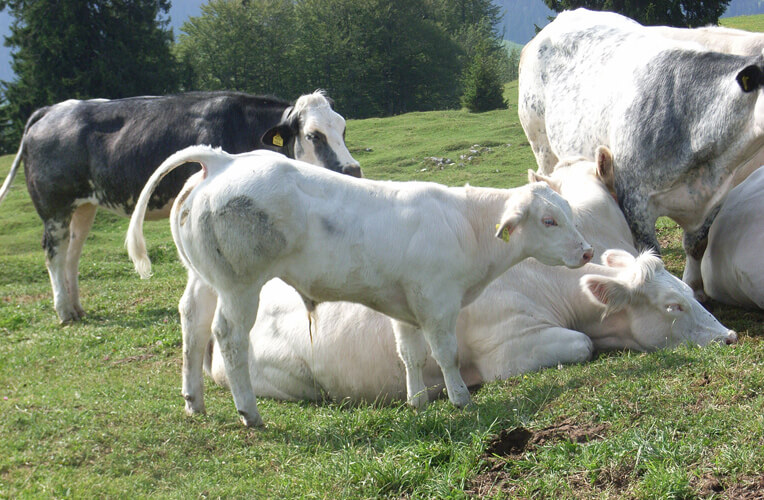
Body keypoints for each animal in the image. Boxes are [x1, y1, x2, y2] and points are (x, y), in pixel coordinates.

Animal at [0, 91, 362, 322]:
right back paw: (64, 312)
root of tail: (53, 110)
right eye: (314, 135)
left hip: (83, 206)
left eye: (343, 128)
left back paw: (76, 307)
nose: (353, 170)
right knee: (54, 252)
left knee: (72, 254)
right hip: (54, 206)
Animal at [127, 145, 592, 426]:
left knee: (192, 323)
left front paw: (418, 401)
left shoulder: (405, 306)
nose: (588, 251)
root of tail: (224, 160)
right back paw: (249, 413)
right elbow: (446, 353)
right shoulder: (437, 302)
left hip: (204, 279)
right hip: (240, 285)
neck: (465, 225)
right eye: (549, 220)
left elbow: (410, 353)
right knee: (227, 336)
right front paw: (461, 399)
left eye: (569, 212)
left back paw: (194, 401)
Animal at [520, 8, 764, 300]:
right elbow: (651, 254)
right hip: (541, 144)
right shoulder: (635, 200)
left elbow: (696, 244)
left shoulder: (713, 199)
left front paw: (695, 287)